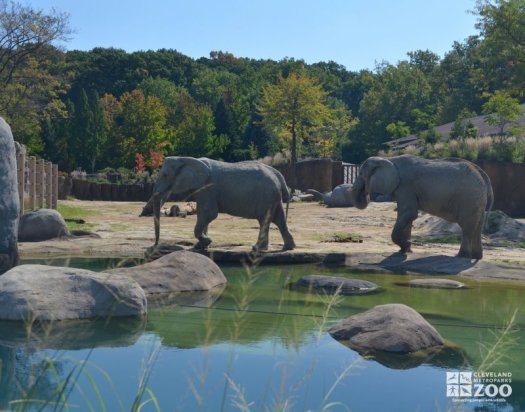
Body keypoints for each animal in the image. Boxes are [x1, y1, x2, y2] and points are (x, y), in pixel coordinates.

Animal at [142, 158, 294, 253]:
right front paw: (201, 247)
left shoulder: (209, 187)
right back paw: (288, 247)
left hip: (267, 195)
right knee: (278, 219)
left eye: (165, 175)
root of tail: (279, 175)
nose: (154, 246)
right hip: (272, 197)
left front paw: (206, 242)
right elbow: (204, 215)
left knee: (265, 220)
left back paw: (257, 249)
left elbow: (208, 213)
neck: (187, 159)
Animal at [350, 154, 494, 258]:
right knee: (477, 226)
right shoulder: (405, 189)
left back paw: (461, 256)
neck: (388, 159)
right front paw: (405, 250)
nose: (366, 194)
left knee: (467, 227)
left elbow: (410, 213)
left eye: (361, 174)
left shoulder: (405, 186)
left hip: (470, 197)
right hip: (477, 199)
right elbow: (406, 215)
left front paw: (406, 246)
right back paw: (476, 257)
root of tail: (484, 176)